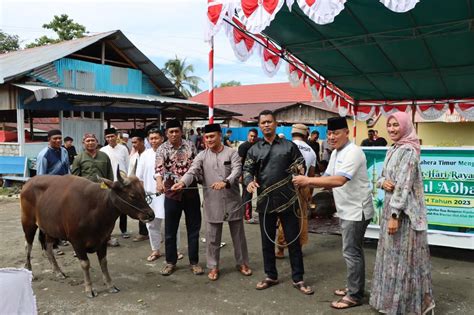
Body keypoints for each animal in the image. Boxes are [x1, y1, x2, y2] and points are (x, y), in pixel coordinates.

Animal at [20, 170, 155, 298]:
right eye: (132, 195)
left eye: (143, 193)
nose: (150, 214)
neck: (96, 210)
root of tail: (29, 182)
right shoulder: (76, 241)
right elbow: (85, 264)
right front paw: (89, 289)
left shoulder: (103, 239)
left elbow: (103, 262)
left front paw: (110, 285)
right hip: (28, 223)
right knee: (28, 246)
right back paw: (29, 271)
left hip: (50, 228)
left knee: (48, 247)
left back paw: (58, 271)